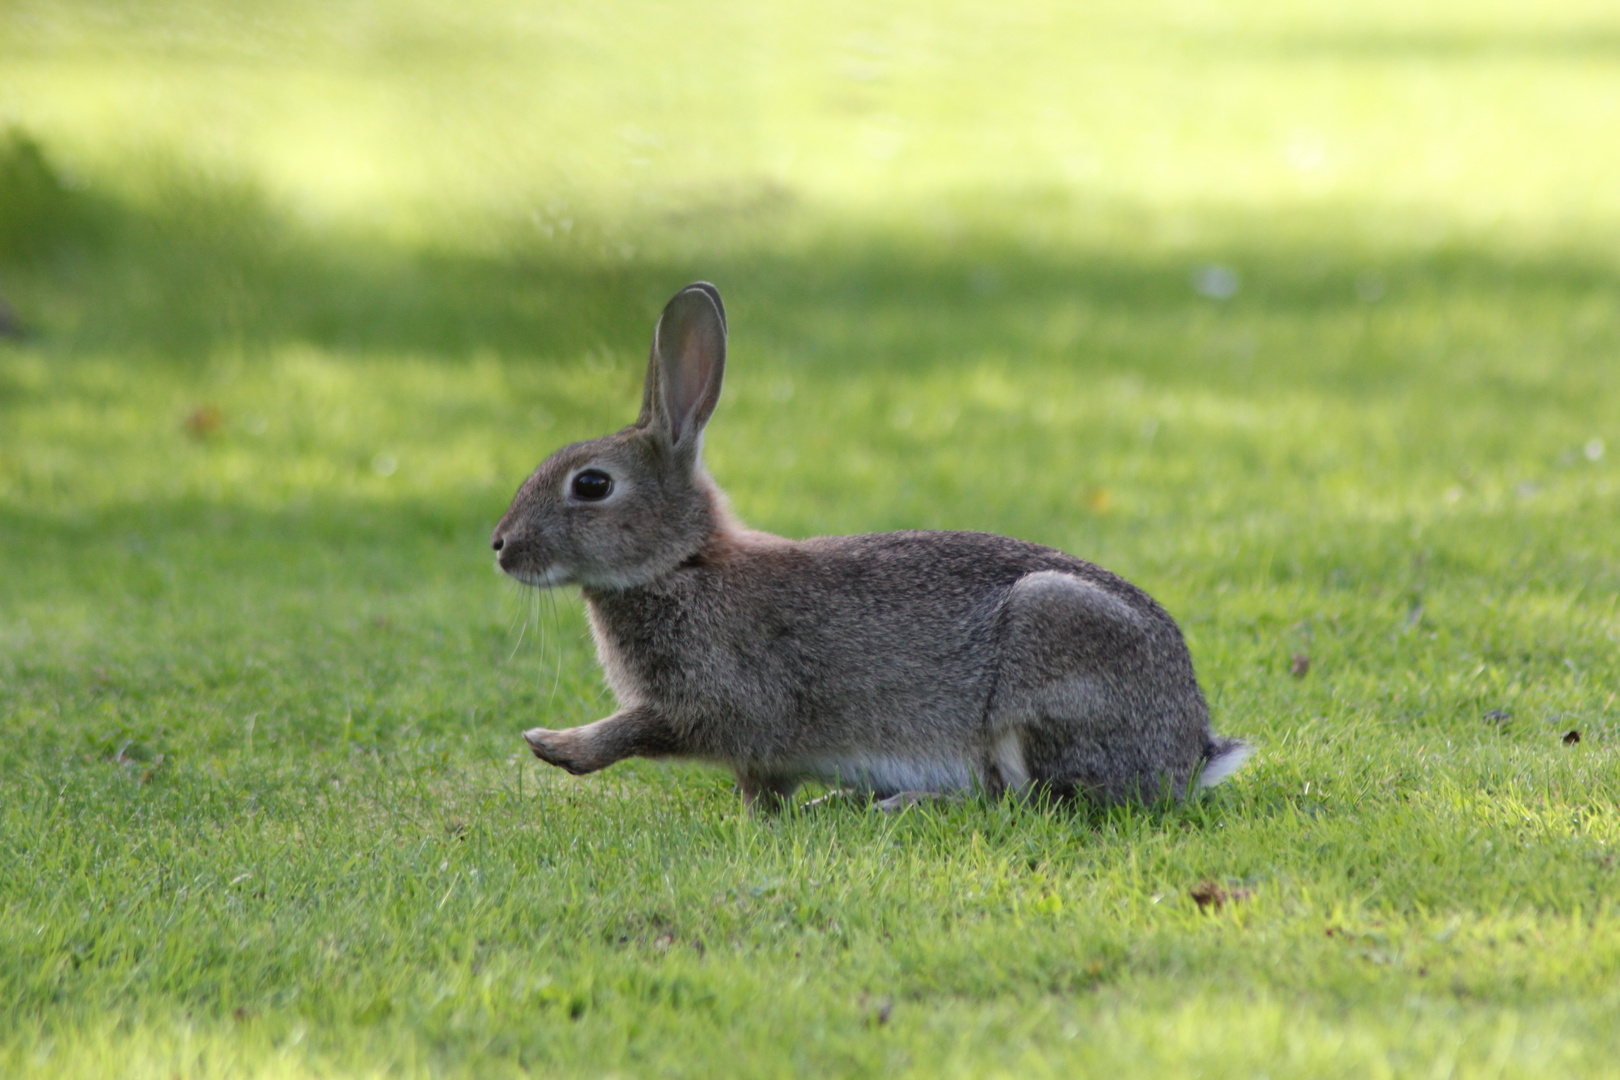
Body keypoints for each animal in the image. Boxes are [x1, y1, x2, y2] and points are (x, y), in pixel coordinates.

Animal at [492, 283, 1250, 806]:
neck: (685, 563)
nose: (500, 546)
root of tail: (1189, 751)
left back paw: (898, 803)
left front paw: (552, 746)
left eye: (592, 485)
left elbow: (641, 730)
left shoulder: (720, 705)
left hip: (1047, 644)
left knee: (1022, 802)